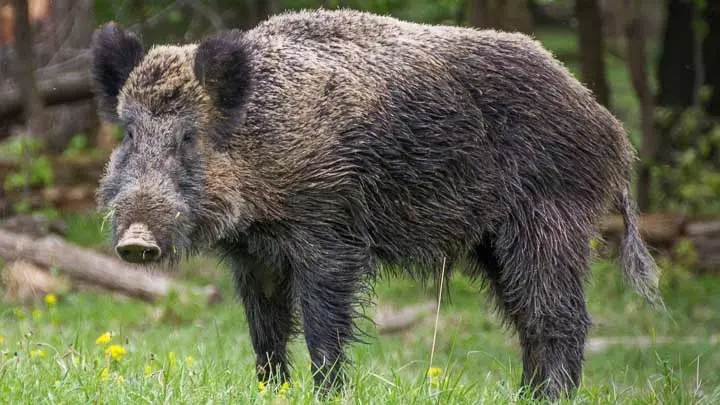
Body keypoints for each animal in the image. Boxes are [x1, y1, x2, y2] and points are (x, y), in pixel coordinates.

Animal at [90, 9, 662, 400]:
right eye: (128, 132)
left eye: (189, 136)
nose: (136, 240)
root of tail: (612, 131)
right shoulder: (254, 256)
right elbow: (265, 331)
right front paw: (271, 390)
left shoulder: (330, 232)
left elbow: (323, 327)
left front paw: (327, 393)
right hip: (494, 244)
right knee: (528, 319)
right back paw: (525, 394)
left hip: (549, 220)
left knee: (560, 317)